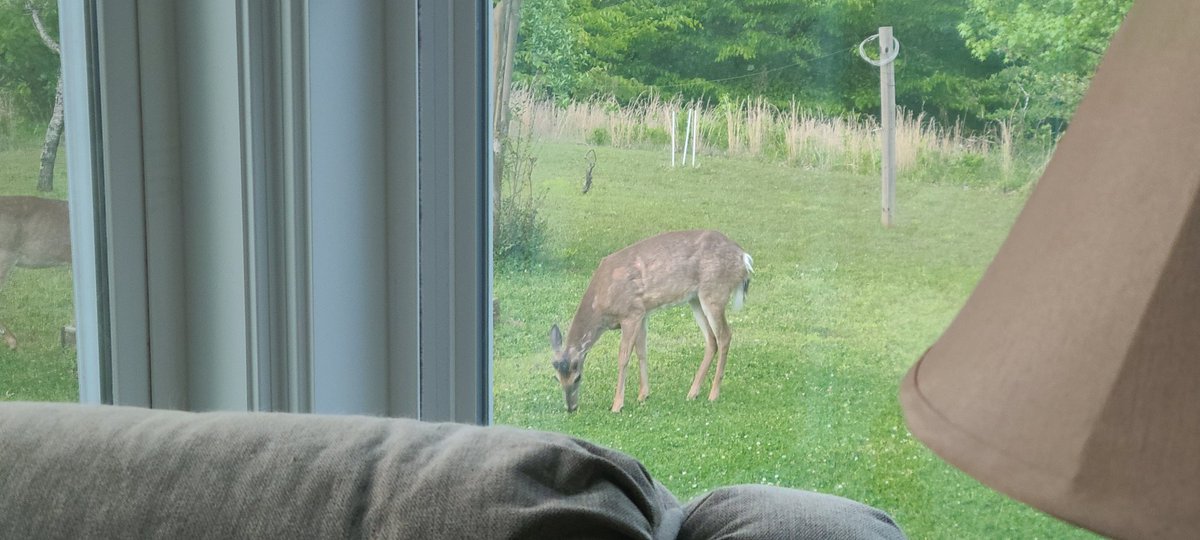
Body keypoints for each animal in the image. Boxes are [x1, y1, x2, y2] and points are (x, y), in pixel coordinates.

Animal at [549, 229, 753, 413]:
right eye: (557, 378)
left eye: (578, 377)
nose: (571, 407)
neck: (600, 304)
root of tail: (744, 257)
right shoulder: (642, 312)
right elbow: (642, 352)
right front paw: (643, 395)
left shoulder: (631, 313)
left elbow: (623, 357)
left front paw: (617, 405)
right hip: (695, 299)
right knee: (711, 339)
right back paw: (692, 393)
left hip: (714, 292)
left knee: (725, 335)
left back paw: (713, 394)